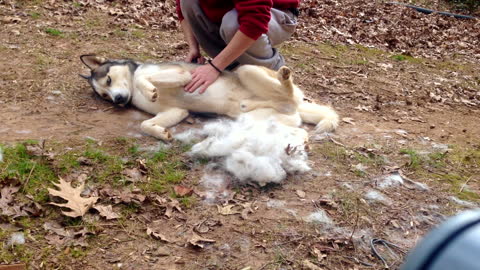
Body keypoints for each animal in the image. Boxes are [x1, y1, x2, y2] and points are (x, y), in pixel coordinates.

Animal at [79, 53, 340, 140]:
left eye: (109, 80)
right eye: (104, 96)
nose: (118, 100)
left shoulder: (182, 74)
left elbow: (150, 79)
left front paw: (149, 88)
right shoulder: (176, 111)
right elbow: (145, 124)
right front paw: (162, 133)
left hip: (246, 70)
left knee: (288, 91)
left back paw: (284, 77)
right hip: (259, 122)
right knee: (299, 130)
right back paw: (297, 144)